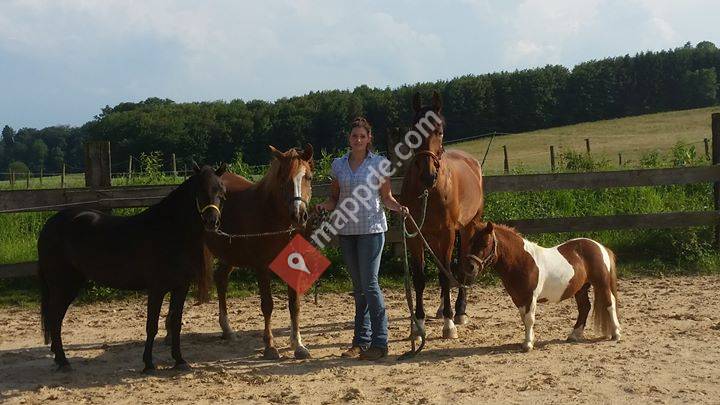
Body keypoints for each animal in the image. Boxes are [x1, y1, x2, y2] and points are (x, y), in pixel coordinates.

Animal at [37, 163, 227, 372]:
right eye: (199, 191)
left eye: (221, 191)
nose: (212, 221)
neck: (169, 231)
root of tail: (50, 224)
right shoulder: (157, 288)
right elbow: (151, 325)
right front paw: (148, 364)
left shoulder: (180, 287)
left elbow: (176, 323)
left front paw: (179, 361)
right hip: (62, 285)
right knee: (55, 318)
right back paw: (63, 361)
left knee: (56, 318)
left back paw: (59, 358)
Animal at [203, 145, 314, 360]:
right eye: (283, 179)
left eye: (308, 177)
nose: (298, 216)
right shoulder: (262, 266)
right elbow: (267, 305)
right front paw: (270, 346)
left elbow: (294, 304)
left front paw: (298, 344)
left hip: (230, 253)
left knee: (221, 278)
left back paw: (227, 330)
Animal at [400, 91, 485, 340]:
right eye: (413, 130)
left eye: (439, 131)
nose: (428, 175)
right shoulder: (415, 234)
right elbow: (419, 278)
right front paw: (418, 325)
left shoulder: (447, 233)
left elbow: (445, 275)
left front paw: (449, 324)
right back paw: (440, 309)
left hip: (467, 228)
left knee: (462, 266)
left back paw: (459, 311)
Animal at [461, 222, 621, 352]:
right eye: (471, 242)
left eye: (484, 244)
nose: (469, 267)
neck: (521, 261)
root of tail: (600, 247)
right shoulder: (518, 298)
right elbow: (524, 319)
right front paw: (529, 339)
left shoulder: (530, 297)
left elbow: (529, 319)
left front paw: (527, 344)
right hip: (580, 289)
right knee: (584, 308)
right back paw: (574, 335)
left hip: (601, 284)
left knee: (609, 304)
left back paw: (616, 333)